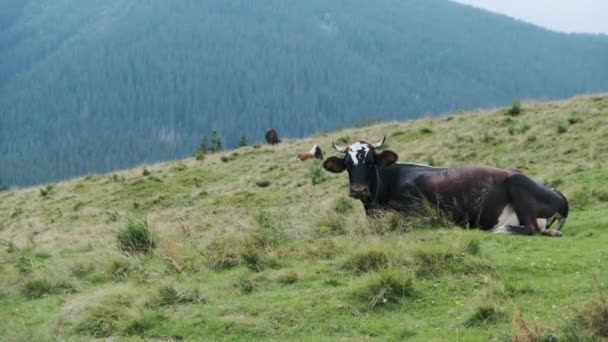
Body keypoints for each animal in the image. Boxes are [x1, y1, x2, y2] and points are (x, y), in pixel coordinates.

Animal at [326, 135, 568, 236]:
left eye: (370, 162)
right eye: (348, 164)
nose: (358, 190)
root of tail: (557, 193)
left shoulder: (420, 210)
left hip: (517, 184)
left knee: (531, 228)